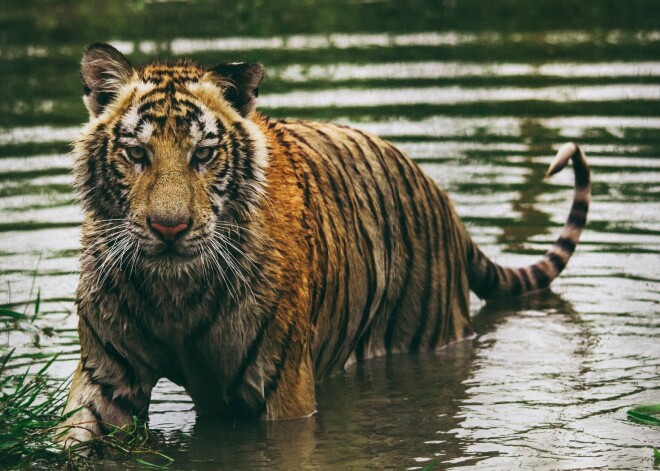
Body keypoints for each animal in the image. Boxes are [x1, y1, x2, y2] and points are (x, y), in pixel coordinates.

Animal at [59, 43, 592, 446]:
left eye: (204, 154)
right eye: (137, 153)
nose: (169, 228)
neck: (175, 294)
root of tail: (444, 200)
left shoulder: (282, 389)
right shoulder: (106, 377)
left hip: (427, 335)